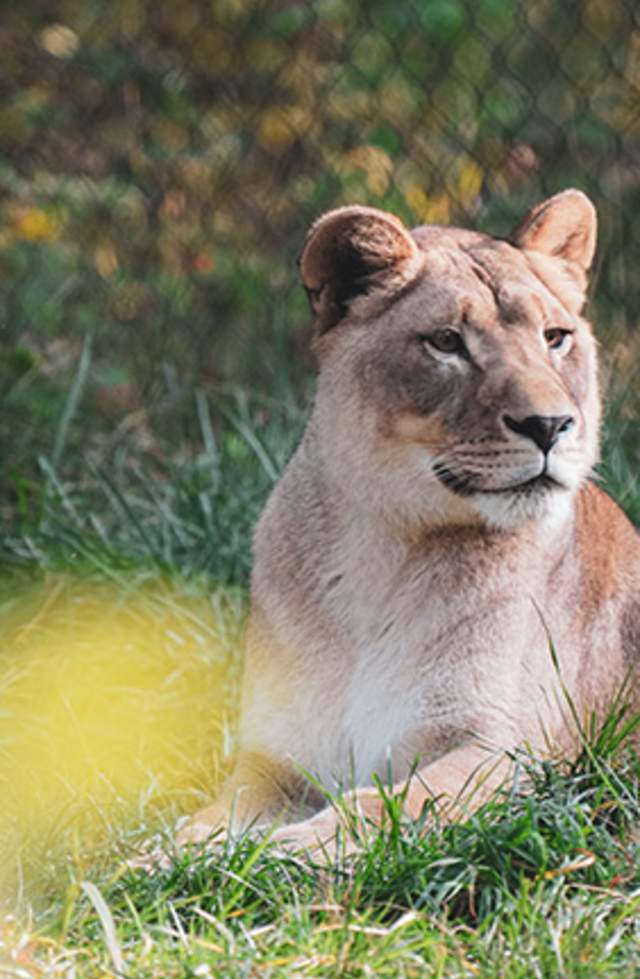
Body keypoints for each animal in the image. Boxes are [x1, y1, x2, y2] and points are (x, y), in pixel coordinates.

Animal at [178, 189, 640, 858]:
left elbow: (380, 807)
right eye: (446, 341)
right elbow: (206, 822)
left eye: (556, 337)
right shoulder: (275, 762)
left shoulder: (509, 750)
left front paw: (292, 852)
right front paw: (155, 860)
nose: (550, 426)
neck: (382, 547)